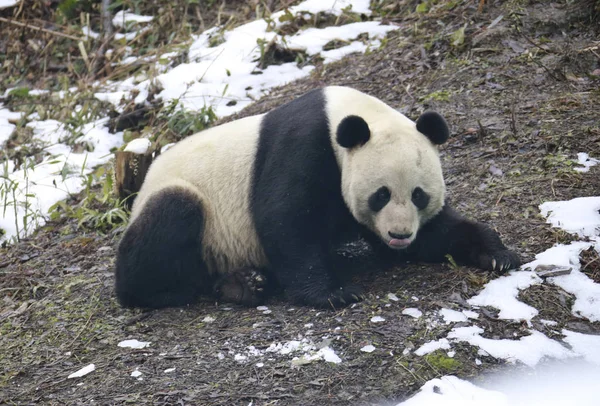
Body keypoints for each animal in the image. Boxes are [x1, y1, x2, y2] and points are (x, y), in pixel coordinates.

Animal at [113, 85, 520, 308]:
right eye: (381, 195)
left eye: (419, 195)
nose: (400, 234)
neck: (347, 116)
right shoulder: (303, 146)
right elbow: (285, 219)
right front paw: (333, 294)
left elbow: (439, 232)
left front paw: (498, 254)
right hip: (190, 208)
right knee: (170, 222)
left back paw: (244, 284)